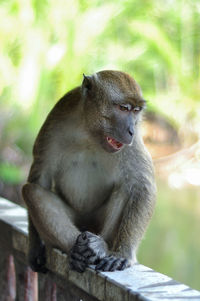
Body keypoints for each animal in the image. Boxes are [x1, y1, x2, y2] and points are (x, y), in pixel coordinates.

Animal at [21, 70, 156, 272]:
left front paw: (123, 254)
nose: (131, 130)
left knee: (126, 189)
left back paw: (100, 246)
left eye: (136, 111)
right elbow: (40, 178)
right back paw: (75, 249)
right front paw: (36, 247)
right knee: (32, 192)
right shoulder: (56, 118)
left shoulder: (133, 141)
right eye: (124, 108)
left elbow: (142, 185)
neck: (90, 133)